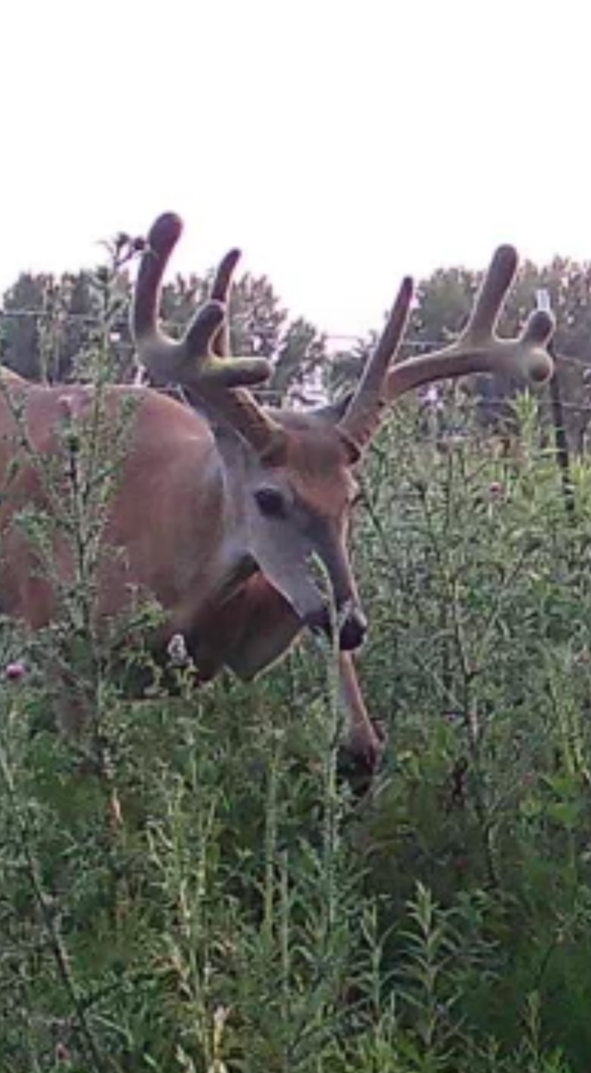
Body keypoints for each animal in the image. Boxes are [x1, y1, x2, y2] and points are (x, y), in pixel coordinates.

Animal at [0, 212, 555, 789]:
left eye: (353, 497)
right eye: (267, 498)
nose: (351, 624)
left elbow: (362, 741)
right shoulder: (61, 642)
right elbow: (94, 781)